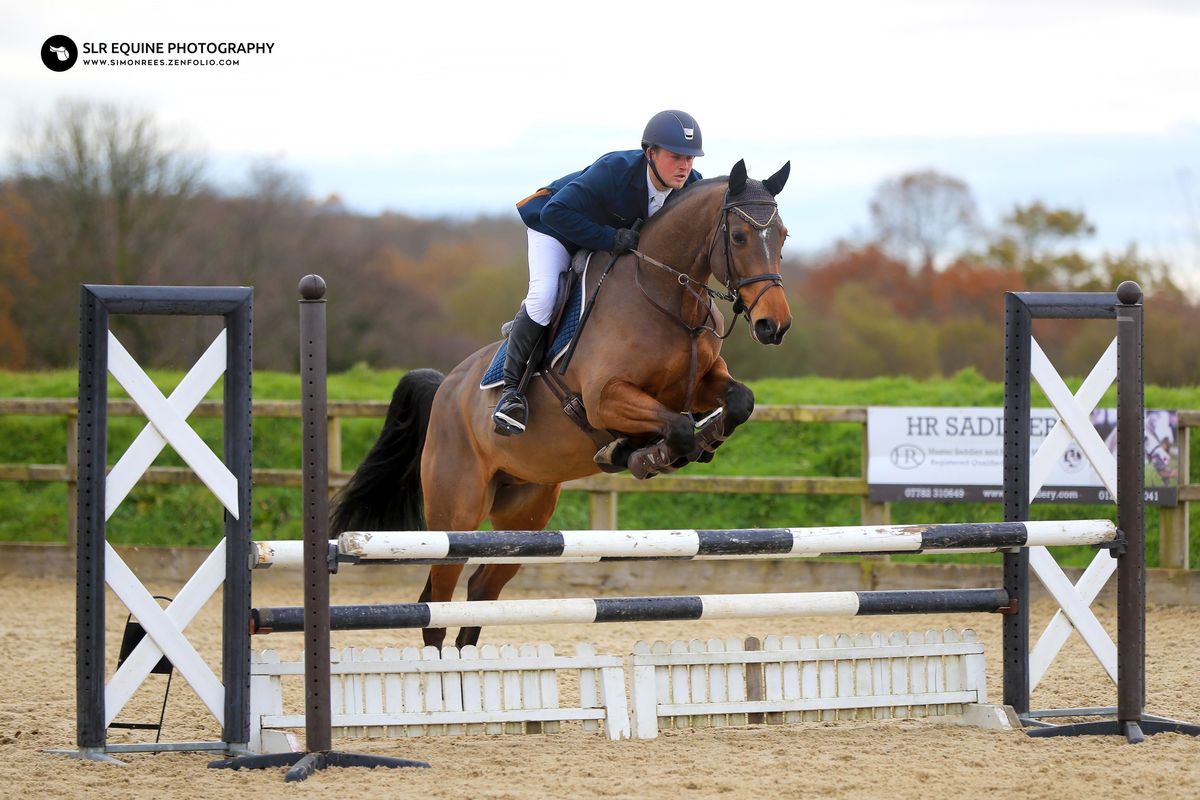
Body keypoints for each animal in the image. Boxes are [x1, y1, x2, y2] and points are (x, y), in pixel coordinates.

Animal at [333, 158, 792, 652]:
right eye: (739, 237)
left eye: (783, 235)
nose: (774, 326)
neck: (666, 299)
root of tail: (445, 388)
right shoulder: (605, 399)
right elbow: (677, 427)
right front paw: (647, 454)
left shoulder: (700, 383)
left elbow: (739, 401)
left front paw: (701, 441)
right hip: (455, 509)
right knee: (437, 598)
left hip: (525, 515)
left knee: (480, 589)